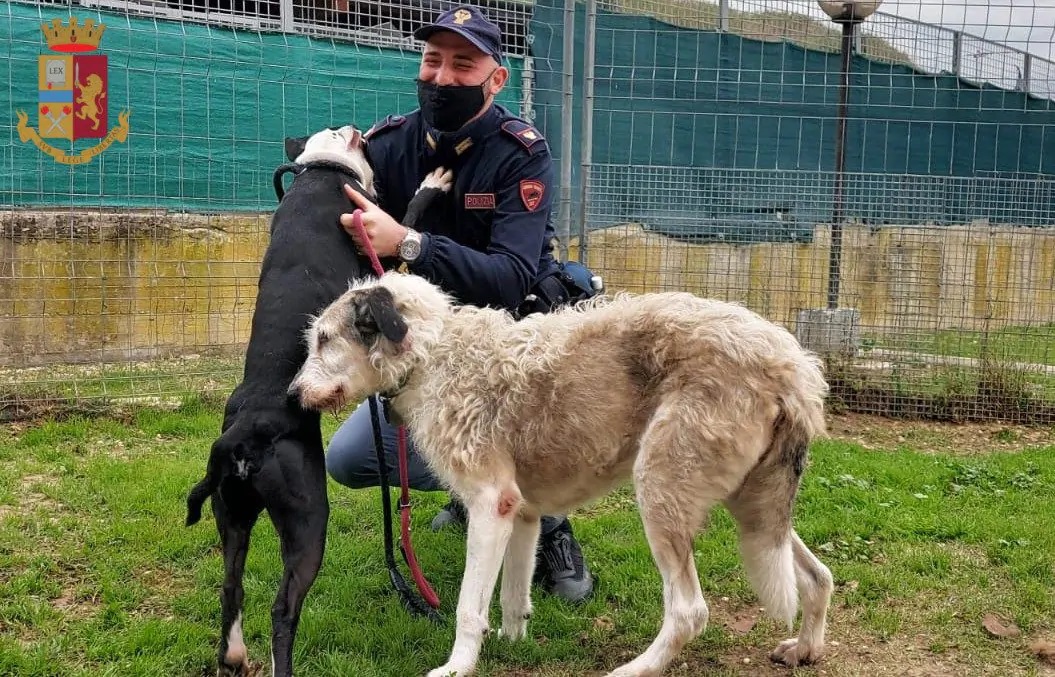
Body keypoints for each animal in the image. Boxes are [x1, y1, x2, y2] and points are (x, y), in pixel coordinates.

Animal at [187, 126, 451, 674]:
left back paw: (234, 654)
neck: (323, 169)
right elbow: (410, 216)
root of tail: (244, 434)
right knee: (283, 608)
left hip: (232, 513)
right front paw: (432, 184)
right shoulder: (383, 262)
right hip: (308, 521)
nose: (365, 128)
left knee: (230, 587)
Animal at [289, 272, 831, 674]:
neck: (433, 355)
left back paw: (636, 669)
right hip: (752, 507)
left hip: (661, 493)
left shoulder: (489, 505)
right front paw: (512, 643)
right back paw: (805, 648)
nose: (292, 395)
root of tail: (790, 364)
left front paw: (459, 666)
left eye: (324, 340)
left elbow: (468, 607)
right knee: (817, 575)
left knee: (689, 612)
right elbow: (511, 595)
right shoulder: (521, 513)